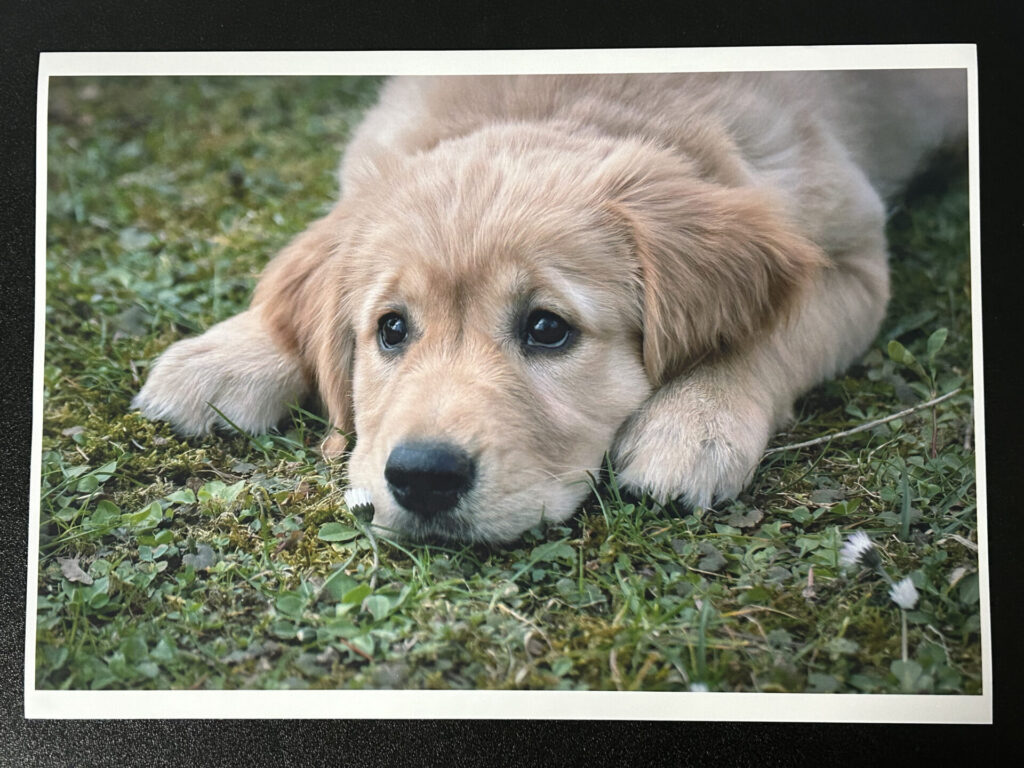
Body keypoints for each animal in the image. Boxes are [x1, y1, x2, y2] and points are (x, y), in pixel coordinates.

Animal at [134, 70, 966, 540]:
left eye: (547, 329)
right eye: (390, 329)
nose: (423, 477)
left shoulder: (852, 257)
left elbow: (769, 334)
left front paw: (695, 422)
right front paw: (227, 353)